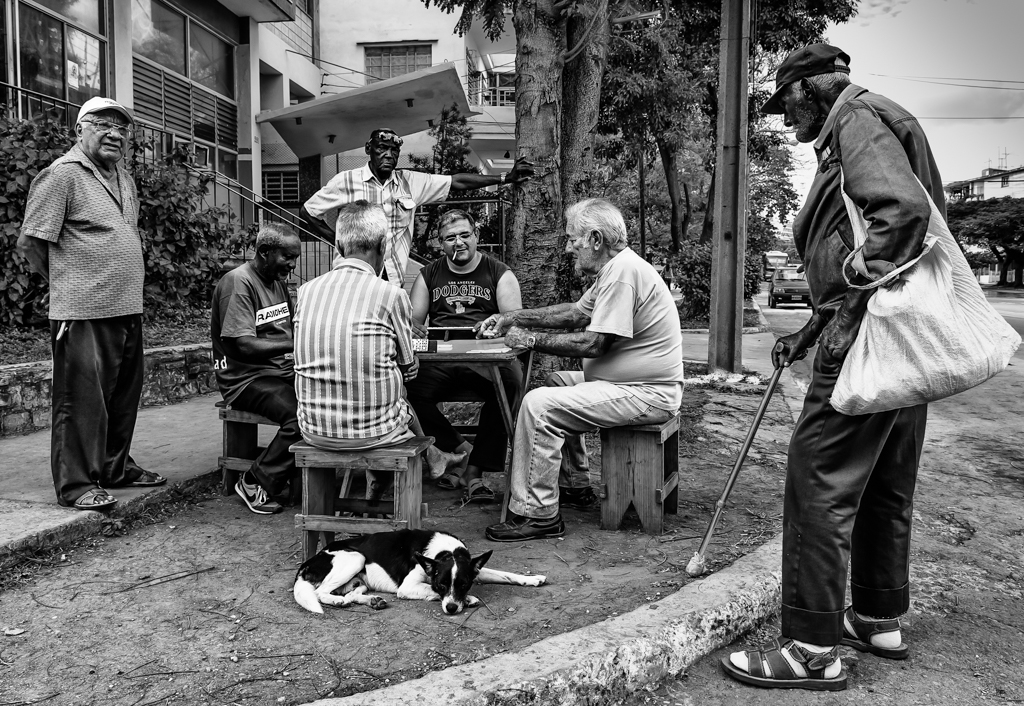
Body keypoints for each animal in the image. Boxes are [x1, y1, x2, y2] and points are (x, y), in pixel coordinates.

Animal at [292, 524, 548, 614]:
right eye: (442, 585)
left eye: (464, 584)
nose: (452, 609)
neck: (446, 552)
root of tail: (308, 561)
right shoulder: (408, 587)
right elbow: (430, 590)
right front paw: (469, 599)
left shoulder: (474, 568)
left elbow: (506, 574)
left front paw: (532, 579)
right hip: (355, 557)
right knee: (319, 593)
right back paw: (336, 601)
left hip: (358, 579)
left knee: (353, 594)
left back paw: (372, 601)